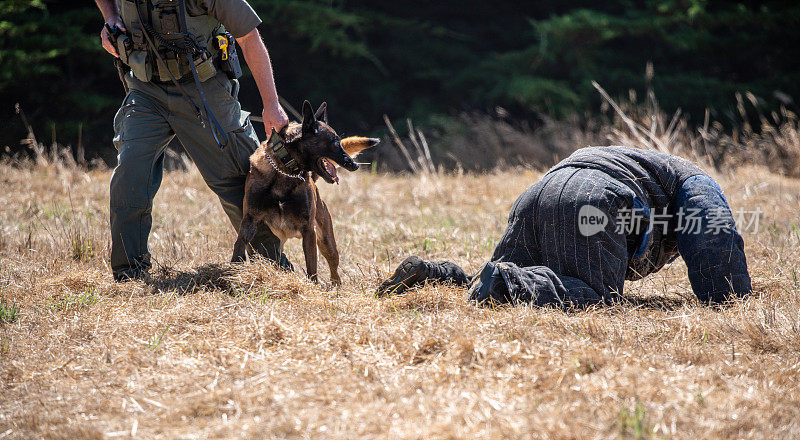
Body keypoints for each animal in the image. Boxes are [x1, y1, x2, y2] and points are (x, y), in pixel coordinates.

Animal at [233, 100, 380, 286]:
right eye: (335, 143)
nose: (355, 165)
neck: (285, 171)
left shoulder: (308, 230)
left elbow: (312, 266)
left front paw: (313, 287)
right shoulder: (250, 219)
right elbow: (239, 243)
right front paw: (233, 269)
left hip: (326, 242)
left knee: (335, 271)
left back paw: (336, 286)